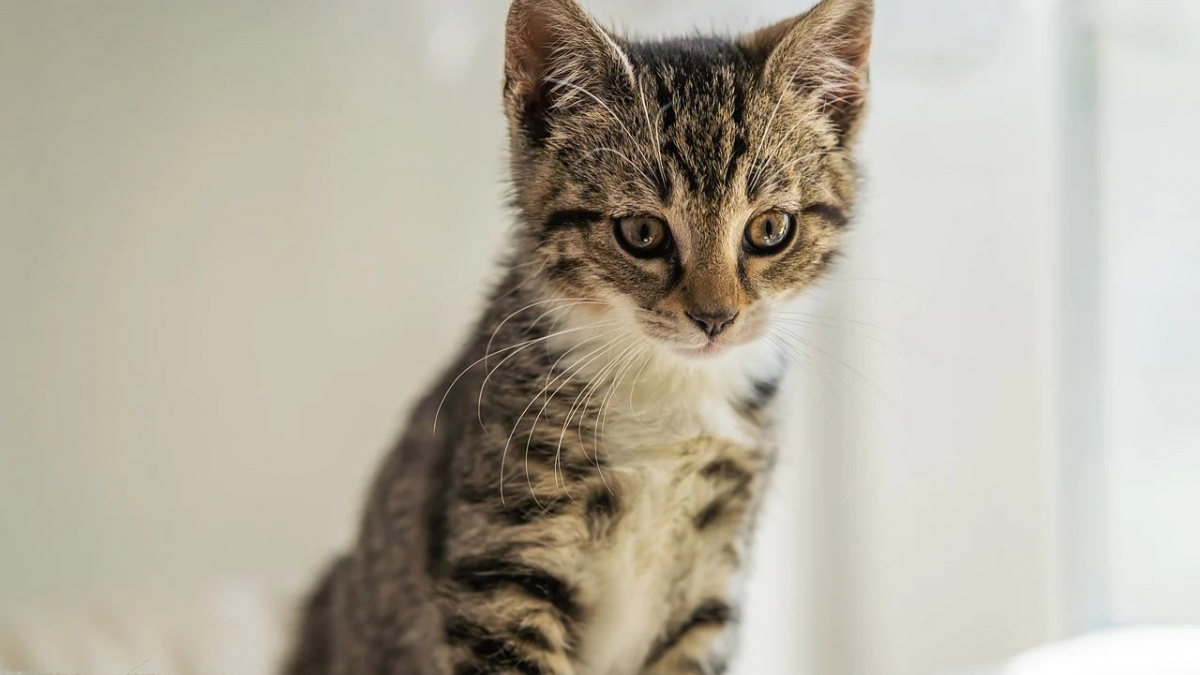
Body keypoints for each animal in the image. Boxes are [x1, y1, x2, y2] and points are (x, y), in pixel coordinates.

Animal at [288, 0, 873, 667]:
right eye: (642, 233)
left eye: (770, 228)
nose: (715, 318)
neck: (668, 386)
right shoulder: (501, 566)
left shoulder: (711, 580)